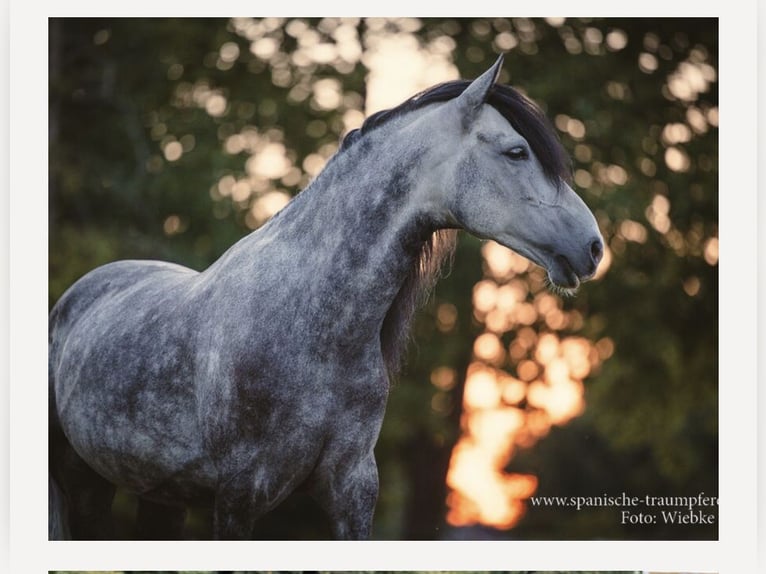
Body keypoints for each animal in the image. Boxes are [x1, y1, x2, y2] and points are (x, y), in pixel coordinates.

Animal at [48, 54, 604, 540]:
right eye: (516, 151)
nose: (594, 247)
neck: (314, 323)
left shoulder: (351, 489)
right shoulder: (239, 496)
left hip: (161, 494)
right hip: (82, 482)